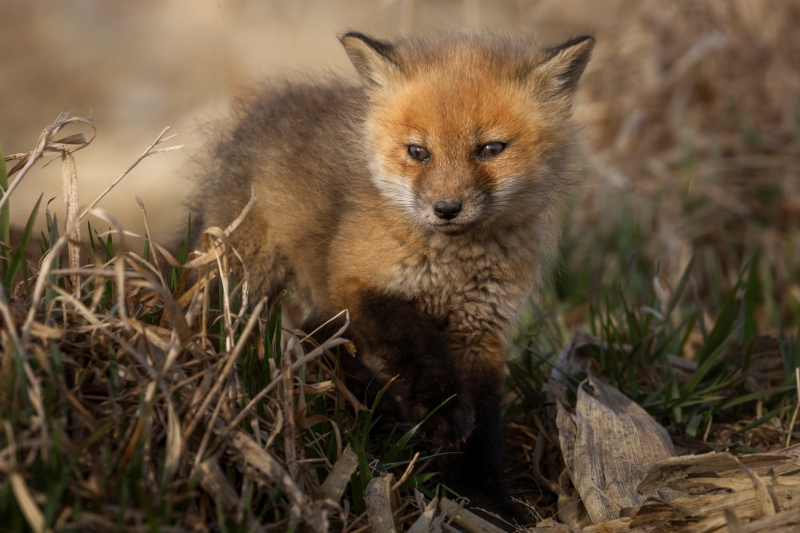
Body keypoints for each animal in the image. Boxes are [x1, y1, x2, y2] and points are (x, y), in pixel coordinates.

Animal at [191, 31, 594, 518]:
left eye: (490, 149)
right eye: (418, 152)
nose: (446, 208)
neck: (452, 267)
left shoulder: (479, 327)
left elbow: (484, 422)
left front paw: (481, 497)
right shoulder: (359, 286)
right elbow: (413, 340)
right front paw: (441, 412)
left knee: (310, 335)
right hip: (248, 279)